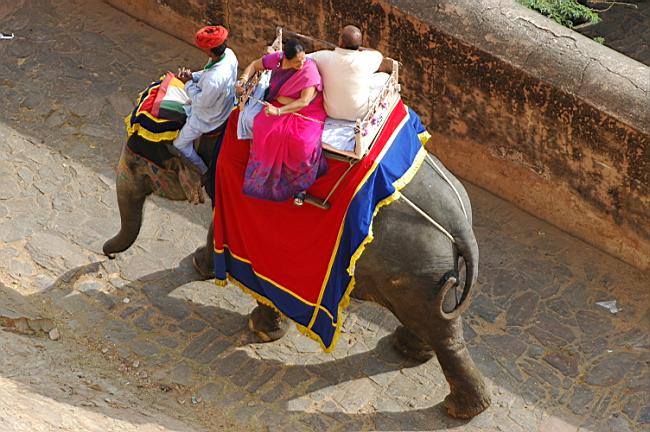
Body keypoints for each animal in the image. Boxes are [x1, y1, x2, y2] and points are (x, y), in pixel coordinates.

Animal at [103, 133, 491, 419]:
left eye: (138, 165)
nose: (106, 254)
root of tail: (459, 223)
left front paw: (260, 328)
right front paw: (203, 267)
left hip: (415, 267)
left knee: (439, 330)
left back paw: (457, 409)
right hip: (428, 275)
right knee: (438, 323)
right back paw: (413, 353)